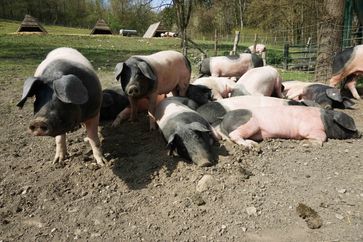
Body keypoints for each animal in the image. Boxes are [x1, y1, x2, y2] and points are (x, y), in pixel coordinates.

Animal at [215, 105, 360, 147]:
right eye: (346, 126)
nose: (360, 133)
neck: (326, 120)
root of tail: (224, 117)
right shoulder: (310, 128)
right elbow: (323, 137)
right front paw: (306, 143)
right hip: (251, 124)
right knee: (234, 135)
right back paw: (251, 146)